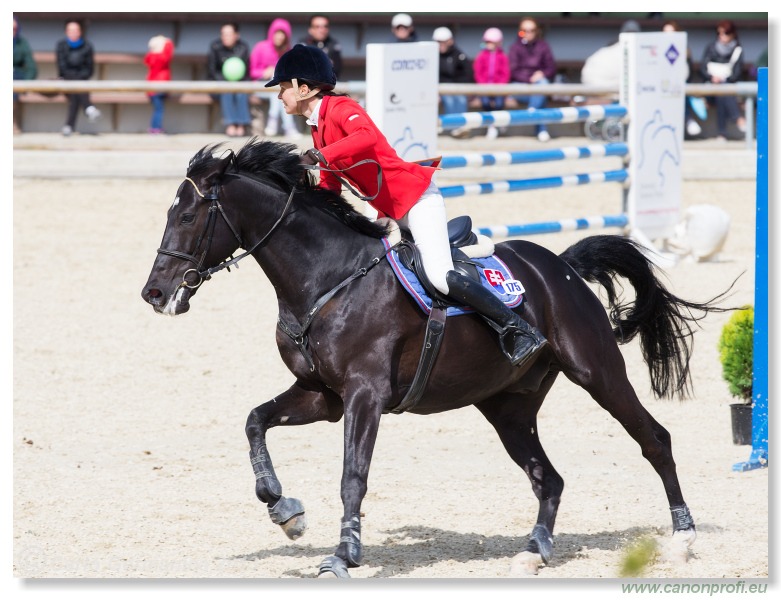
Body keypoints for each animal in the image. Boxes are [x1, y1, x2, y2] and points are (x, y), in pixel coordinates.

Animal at [143, 139, 728, 576]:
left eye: (189, 215)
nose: (155, 293)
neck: (326, 278)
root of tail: (559, 265)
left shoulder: (364, 395)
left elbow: (353, 473)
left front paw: (343, 554)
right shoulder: (322, 396)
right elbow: (255, 421)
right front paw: (284, 510)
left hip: (597, 372)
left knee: (654, 440)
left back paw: (683, 537)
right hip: (507, 406)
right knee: (548, 477)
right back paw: (533, 552)